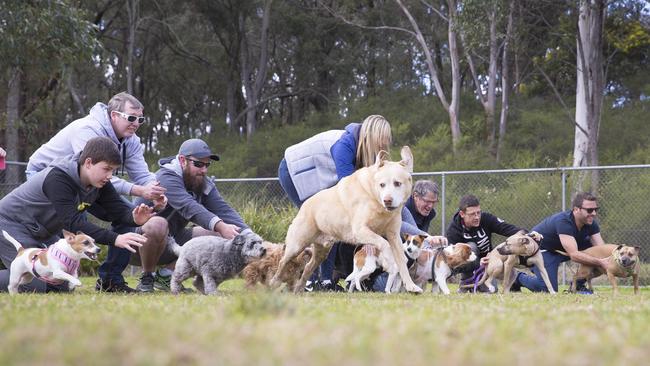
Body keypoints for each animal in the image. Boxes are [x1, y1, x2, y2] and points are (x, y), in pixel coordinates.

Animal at [268, 147, 420, 294]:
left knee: (308, 267)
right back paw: (273, 283)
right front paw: (390, 262)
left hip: (322, 252)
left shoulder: (394, 235)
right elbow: (384, 244)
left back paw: (299, 289)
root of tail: (304, 205)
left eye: (397, 183)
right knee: (283, 262)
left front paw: (411, 286)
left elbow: (402, 261)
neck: (374, 198)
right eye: (382, 184)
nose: (387, 200)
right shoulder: (361, 231)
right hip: (296, 245)